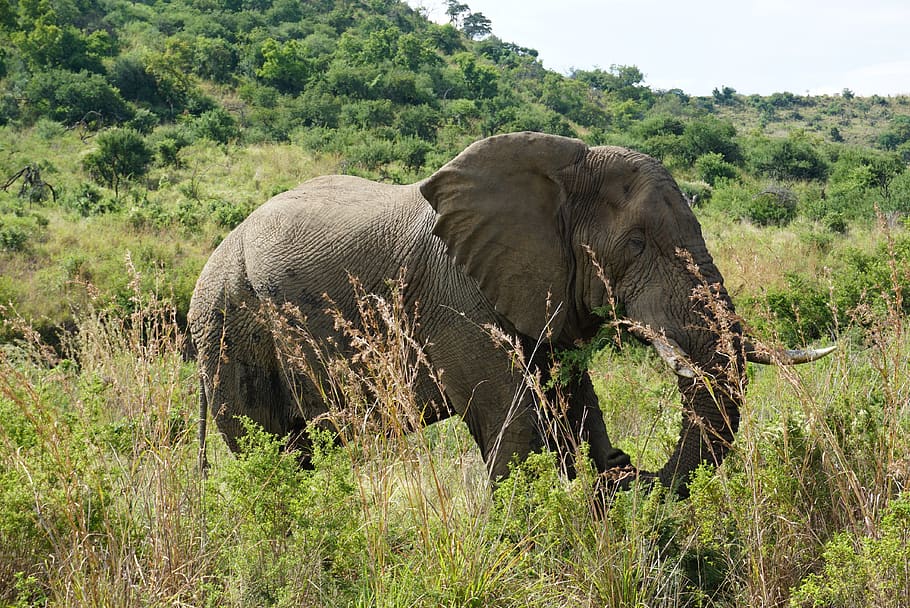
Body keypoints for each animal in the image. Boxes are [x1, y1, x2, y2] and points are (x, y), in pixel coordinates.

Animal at [188, 131, 832, 496]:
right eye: (636, 245)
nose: (632, 468)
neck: (561, 170)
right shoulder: (455, 297)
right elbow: (518, 422)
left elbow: (570, 401)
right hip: (229, 331)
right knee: (273, 456)